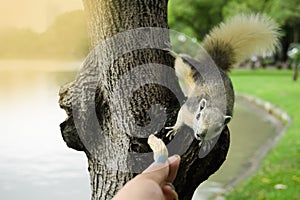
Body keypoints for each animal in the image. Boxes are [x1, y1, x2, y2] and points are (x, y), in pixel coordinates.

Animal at [165, 13, 280, 144]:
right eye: (198, 116)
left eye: (216, 129)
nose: (200, 134)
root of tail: (214, 66)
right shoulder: (189, 108)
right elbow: (180, 115)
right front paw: (174, 129)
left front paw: (204, 142)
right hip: (187, 68)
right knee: (182, 59)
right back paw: (173, 52)